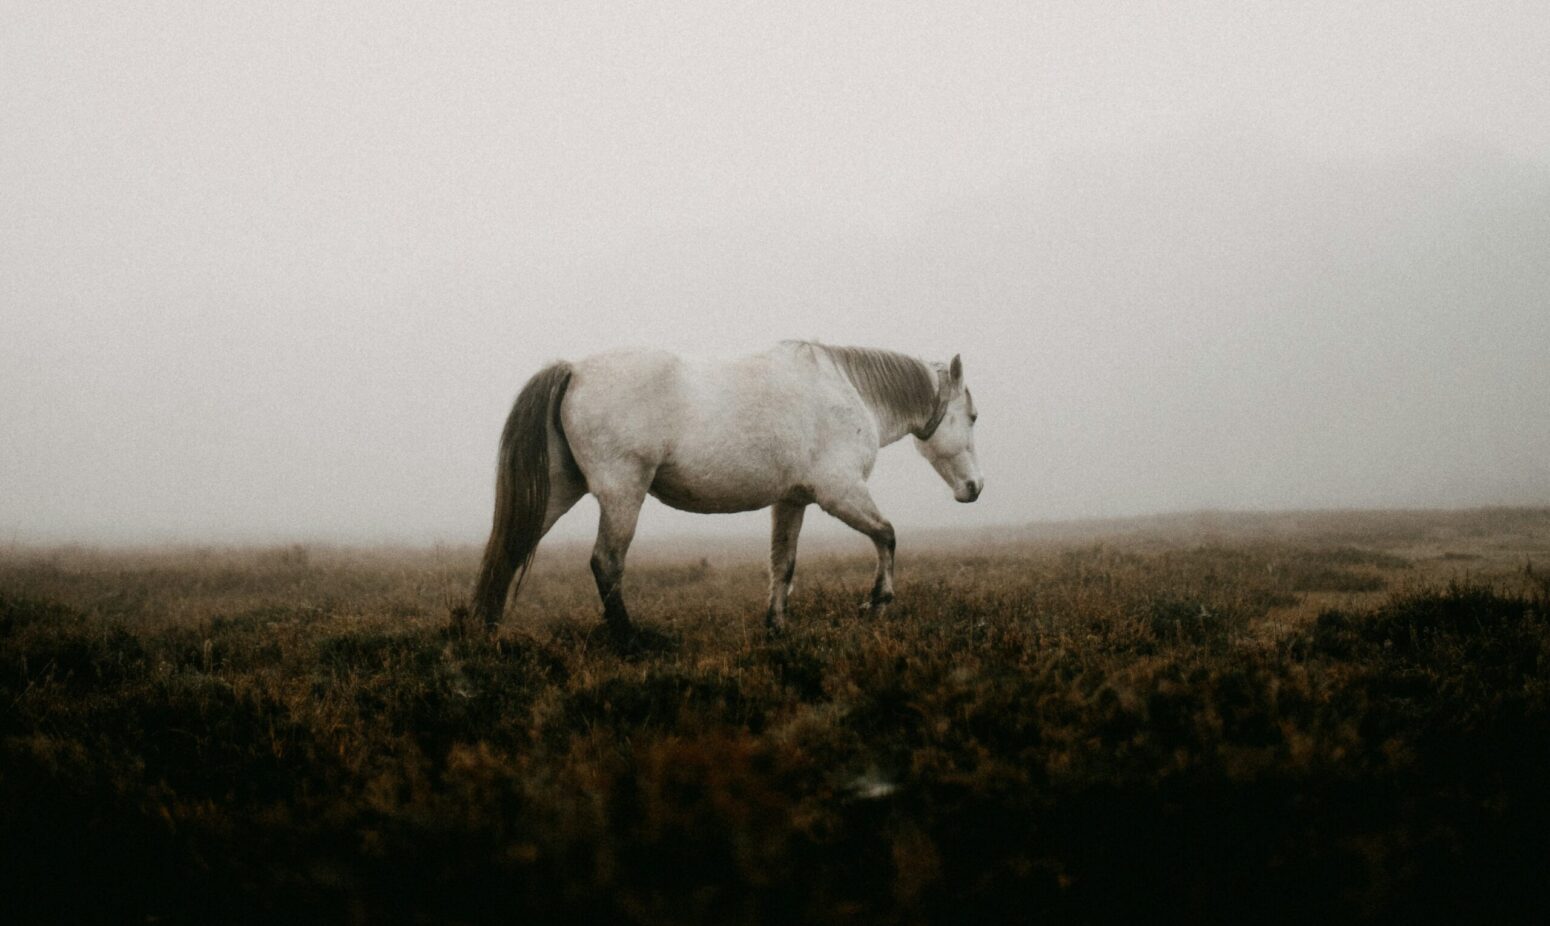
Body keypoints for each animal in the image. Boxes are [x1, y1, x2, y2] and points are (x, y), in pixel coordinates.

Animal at [470, 340, 983, 640]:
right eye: (974, 416)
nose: (974, 488)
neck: (847, 389)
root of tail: (573, 370)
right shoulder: (839, 493)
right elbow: (887, 536)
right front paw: (878, 601)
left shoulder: (793, 500)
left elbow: (783, 563)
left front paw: (775, 626)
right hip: (622, 495)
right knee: (606, 563)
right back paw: (630, 640)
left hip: (558, 492)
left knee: (511, 548)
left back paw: (486, 627)